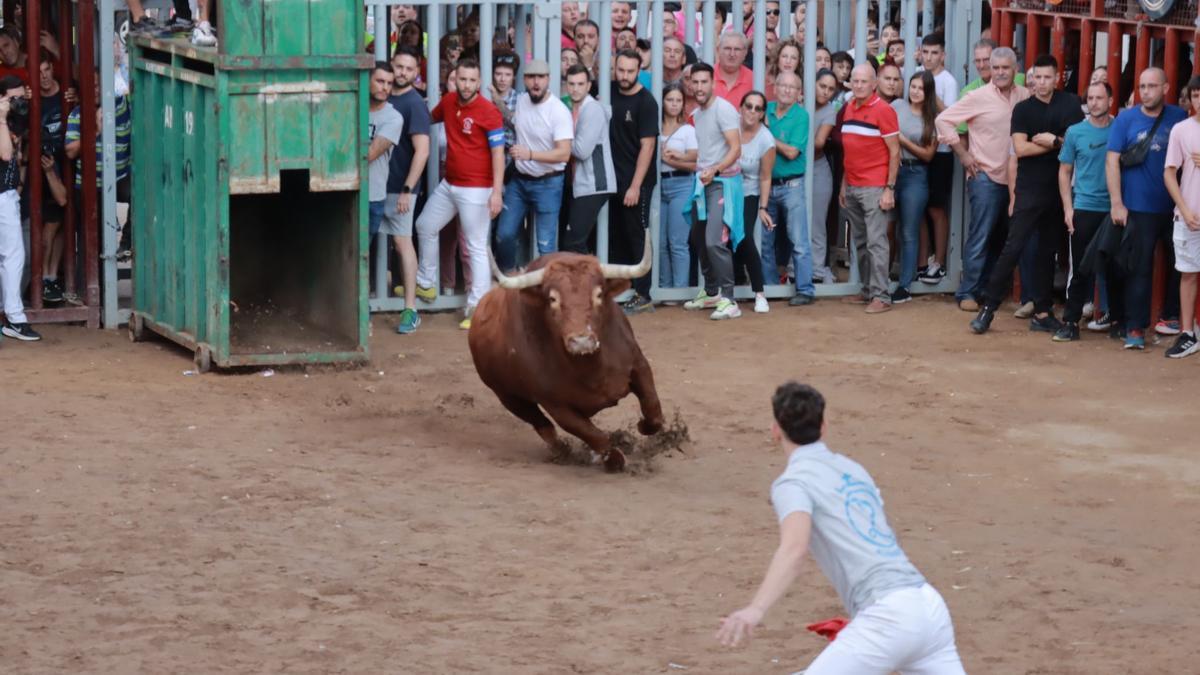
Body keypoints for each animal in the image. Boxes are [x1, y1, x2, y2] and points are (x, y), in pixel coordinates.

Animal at [465, 239, 662, 470]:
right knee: (542, 424)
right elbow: (594, 436)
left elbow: (653, 409)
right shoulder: (556, 405)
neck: (593, 367)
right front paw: (613, 457)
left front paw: (642, 426)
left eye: (598, 294)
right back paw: (561, 451)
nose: (581, 341)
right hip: (508, 397)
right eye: (553, 299)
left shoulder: (639, 365)